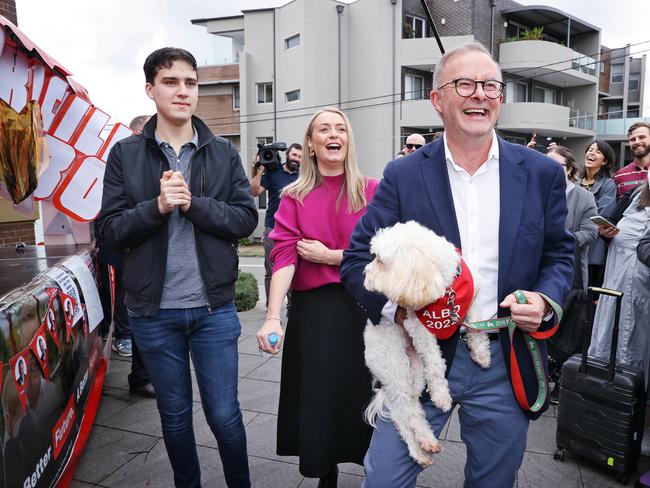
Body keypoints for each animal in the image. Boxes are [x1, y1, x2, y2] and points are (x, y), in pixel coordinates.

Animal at [362, 220, 488, 466]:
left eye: (380, 260)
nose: (365, 274)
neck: (447, 290)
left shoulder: (473, 300)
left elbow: (476, 327)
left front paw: (481, 353)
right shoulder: (418, 327)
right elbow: (436, 364)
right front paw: (441, 396)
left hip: (415, 372)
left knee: (413, 408)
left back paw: (427, 440)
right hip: (396, 369)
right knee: (402, 415)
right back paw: (418, 451)